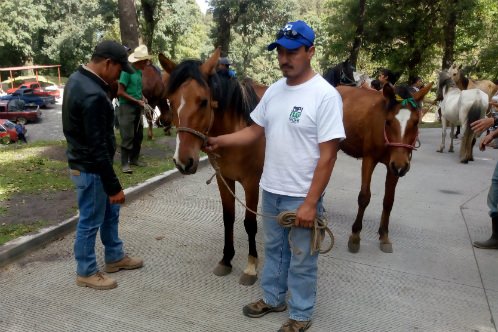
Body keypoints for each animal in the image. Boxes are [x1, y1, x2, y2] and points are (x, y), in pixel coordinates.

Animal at [160, 48, 268, 286]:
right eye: (171, 102)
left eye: (203, 101)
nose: (184, 161)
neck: (239, 130)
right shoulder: (223, 178)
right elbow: (228, 217)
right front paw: (226, 259)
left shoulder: (251, 183)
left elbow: (250, 223)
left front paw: (251, 266)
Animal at [338, 82, 432, 252]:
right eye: (388, 121)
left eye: (416, 122)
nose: (401, 166)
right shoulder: (369, 159)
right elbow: (364, 197)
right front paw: (355, 235)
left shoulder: (394, 166)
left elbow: (388, 201)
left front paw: (384, 235)